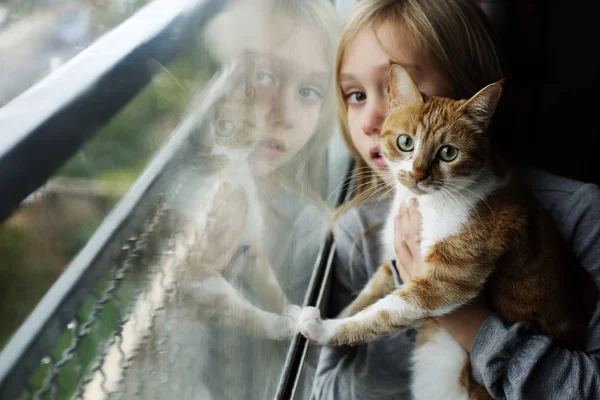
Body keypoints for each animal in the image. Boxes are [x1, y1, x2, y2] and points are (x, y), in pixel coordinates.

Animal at [298, 64, 596, 398]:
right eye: (405, 142)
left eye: (448, 153)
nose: (418, 174)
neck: (427, 203)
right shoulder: (393, 261)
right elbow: (367, 295)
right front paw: (334, 315)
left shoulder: (447, 280)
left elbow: (382, 313)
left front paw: (324, 328)